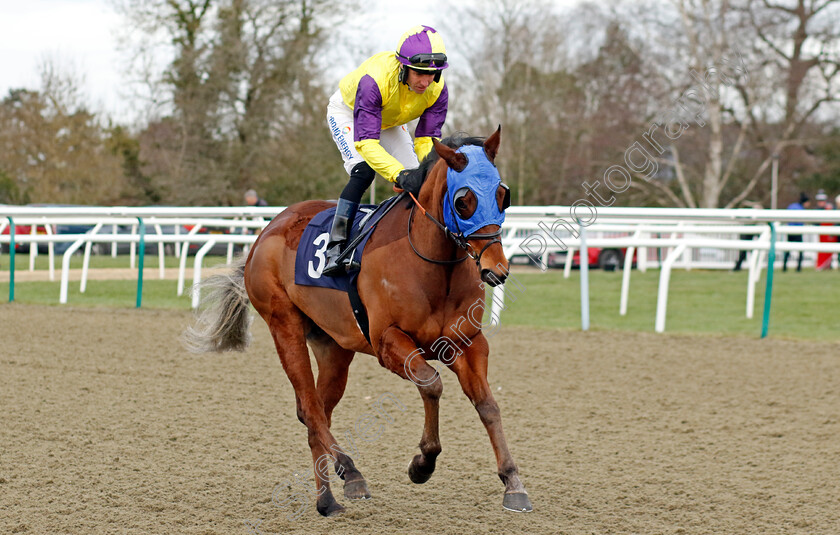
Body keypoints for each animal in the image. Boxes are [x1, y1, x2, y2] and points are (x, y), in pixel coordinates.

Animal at [187, 127, 536, 516]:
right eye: (464, 200)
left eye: (503, 195)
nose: (496, 269)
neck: (431, 265)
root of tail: (267, 231)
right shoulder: (388, 342)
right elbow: (431, 384)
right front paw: (422, 464)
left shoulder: (467, 344)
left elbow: (488, 405)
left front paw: (513, 482)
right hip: (284, 326)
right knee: (310, 409)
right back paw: (338, 485)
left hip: (334, 346)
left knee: (316, 410)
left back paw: (339, 487)